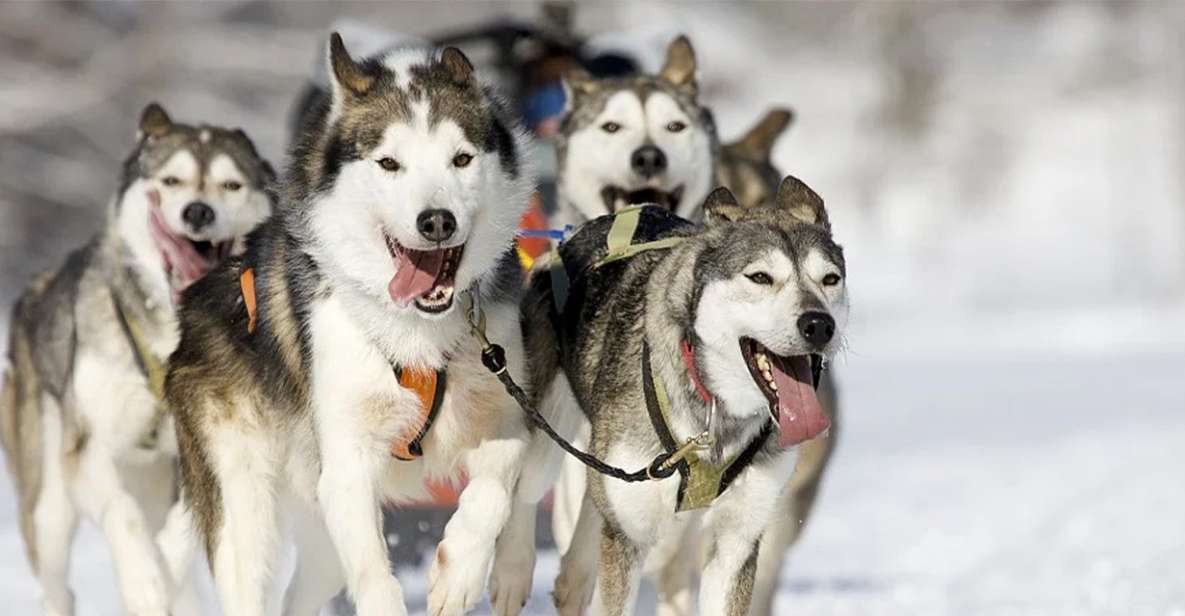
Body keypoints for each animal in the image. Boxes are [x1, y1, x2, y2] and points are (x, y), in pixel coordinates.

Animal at [1, 102, 272, 616]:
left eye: (231, 185)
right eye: (170, 181)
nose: (198, 212)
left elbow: (184, 530)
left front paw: (164, 564)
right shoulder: (87, 451)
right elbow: (123, 516)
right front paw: (145, 579)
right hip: (48, 507)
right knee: (57, 584)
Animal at [164, 34, 535, 616]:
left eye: (461, 159)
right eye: (388, 163)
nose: (437, 221)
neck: (414, 331)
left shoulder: (503, 409)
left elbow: (498, 483)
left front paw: (460, 572)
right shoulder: (347, 465)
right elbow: (376, 579)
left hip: (318, 538)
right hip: (246, 510)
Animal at [533, 175, 848, 611]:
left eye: (830, 279)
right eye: (760, 277)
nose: (819, 324)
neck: (715, 413)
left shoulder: (735, 543)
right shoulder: (627, 537)